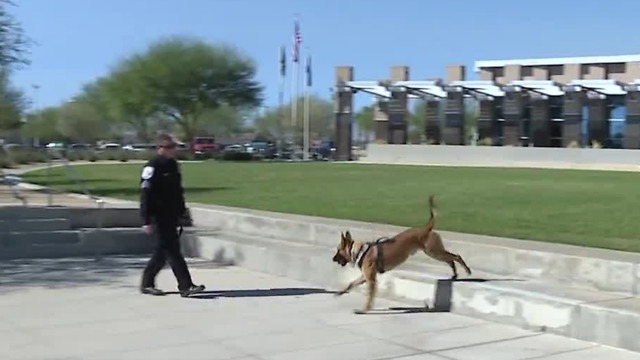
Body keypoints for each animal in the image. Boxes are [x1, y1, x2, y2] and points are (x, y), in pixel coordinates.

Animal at [332, 194, 472, 312]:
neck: (360, 250)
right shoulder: (364, 277)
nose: (333, 259)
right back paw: (455, 274)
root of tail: (426, 227)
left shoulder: (371, 280)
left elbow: (369, 297)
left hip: (434, 252)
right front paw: (340, 292)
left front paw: (364, 309)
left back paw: (467, 270)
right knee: (450, 259)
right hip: (434, 252)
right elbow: (351, 284)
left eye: (338, 250)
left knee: (456, 256)